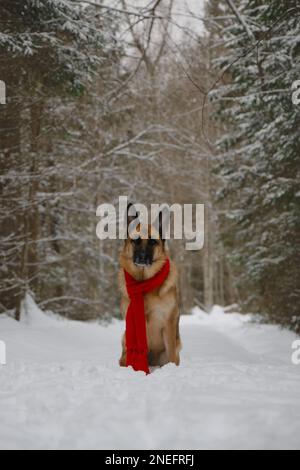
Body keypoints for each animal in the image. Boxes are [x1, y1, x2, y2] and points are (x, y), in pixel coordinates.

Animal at [119, 205, 180, 368]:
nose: (141, 257)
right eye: (136, 241)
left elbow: (172, 355)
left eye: (153, 242)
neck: (144, 283)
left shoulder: (168, 324)